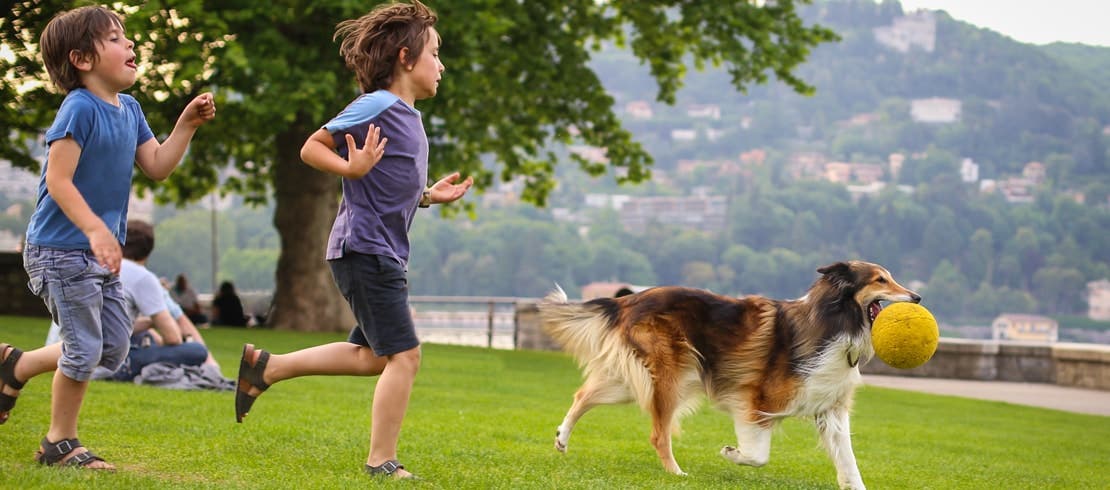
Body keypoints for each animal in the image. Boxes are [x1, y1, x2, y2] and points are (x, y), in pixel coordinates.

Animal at [537, 261, 919, 486]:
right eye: (880, 280)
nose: (916, 296)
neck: (833, 322)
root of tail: (627, 299)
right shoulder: (756, 402)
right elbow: (758, 455)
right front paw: (730, 453)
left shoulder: (832, 410)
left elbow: (849, 463)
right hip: (671, 377)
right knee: (658, 434)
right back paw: (676, 472)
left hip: (638, 379)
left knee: (583, 394)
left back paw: (561, 438)